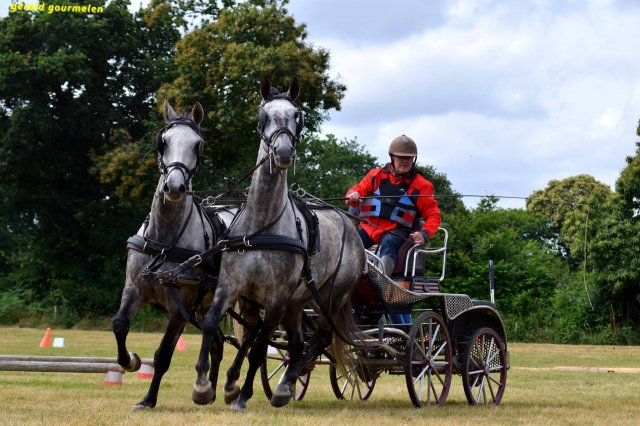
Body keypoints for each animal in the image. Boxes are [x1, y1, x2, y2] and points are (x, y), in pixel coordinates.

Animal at [112, 100, 236, 410]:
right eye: (163, 141)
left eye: (197, 144)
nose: (175, 188)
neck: (166, 240)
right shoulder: (134, 288)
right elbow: (119, 325)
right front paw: (130, 361)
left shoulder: (181, 307)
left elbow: (164, 354)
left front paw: (148, 398)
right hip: (206, 305)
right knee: (216, 343)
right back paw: (208, 390)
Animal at [190, 77, 368, 411]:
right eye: (263, 116)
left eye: (298, 116)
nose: (283, 151)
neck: (262, 227)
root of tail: (349, 224)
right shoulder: (230, 286)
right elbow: (211, 324)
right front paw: (205, 386)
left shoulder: (276, 299)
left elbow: (260, 347)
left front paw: (241, 396)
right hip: (297, 303)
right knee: (297, 344)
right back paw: (285, 386)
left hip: (329, 298)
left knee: (318, 340)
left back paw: (285, 386)